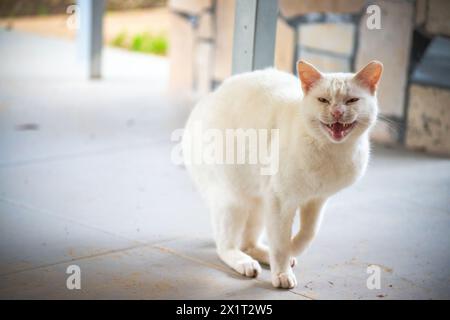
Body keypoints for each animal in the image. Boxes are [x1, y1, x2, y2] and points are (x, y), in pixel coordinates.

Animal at [183, 59, 384, 288]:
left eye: (351, 100)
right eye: (323, 100)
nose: (337, 113)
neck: (331, 152)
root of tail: (205, 99)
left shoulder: (316, 200)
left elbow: (308, 233)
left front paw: (292, 250)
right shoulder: (280, 200)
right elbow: (280, 243)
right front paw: (282, 272)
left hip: (259, 202)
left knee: (248, 243)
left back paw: (263, 255)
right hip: (234, 199)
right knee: (225, 247)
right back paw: (245, 263)